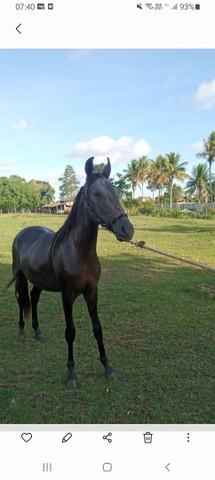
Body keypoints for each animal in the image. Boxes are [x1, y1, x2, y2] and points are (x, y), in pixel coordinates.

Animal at [6, 158, 134, 386]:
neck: (78, 253)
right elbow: (70, 332)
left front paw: (107, 367)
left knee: (34, 298)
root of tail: (23, 233)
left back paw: (37, 331)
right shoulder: (67, 295)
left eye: (116, 192)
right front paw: (71, 373)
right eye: (97, 194)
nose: (127, 230)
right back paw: (21, 333)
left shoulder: (92, 292)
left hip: (39, 281)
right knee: (22, 301)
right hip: (20, 277)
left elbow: (97, 328)